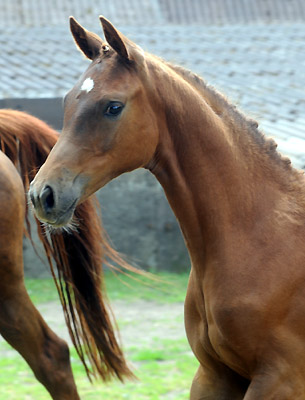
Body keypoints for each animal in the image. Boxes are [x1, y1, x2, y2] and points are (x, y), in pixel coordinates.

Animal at [29, 17, 304, 400]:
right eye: (68, 101)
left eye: (113, 106)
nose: (43, 195)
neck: (261, 237)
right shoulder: (213, 374)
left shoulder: (281, 378)